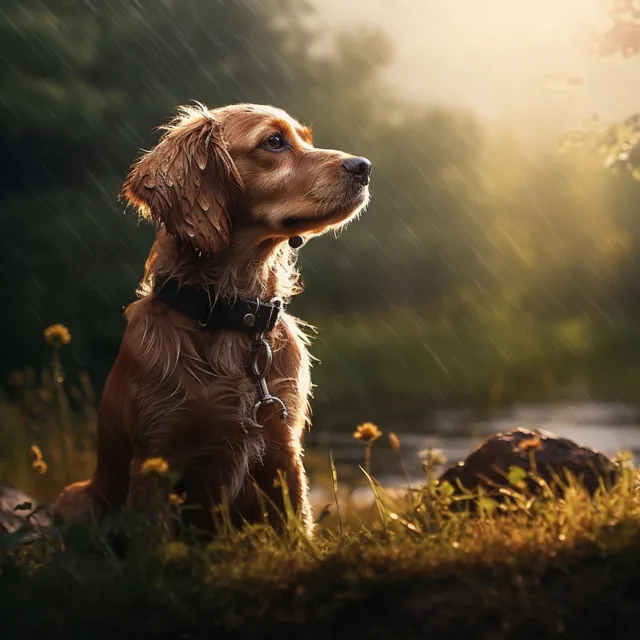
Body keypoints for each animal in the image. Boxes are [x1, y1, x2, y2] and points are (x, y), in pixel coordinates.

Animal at [53, 104, 372, 536]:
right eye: (274, 141)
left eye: (306, 138)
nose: (364, 167)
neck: (231, 314)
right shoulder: (156, 458)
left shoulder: (282, 448)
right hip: (75, 499)